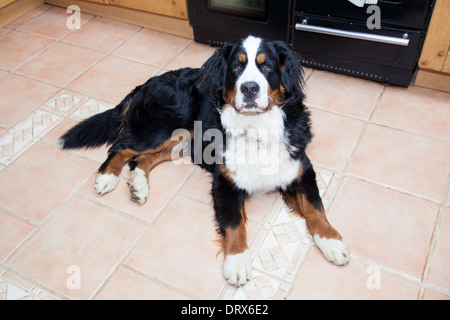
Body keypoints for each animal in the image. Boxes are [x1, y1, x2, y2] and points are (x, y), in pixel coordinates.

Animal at [59, 36, 350, 286]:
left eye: (266, 66)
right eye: (237, 67)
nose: (250, 88)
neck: (256, 129)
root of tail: (145, 84)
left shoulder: (301, 169)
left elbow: (315, 208)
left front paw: (331, 241)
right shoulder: (225, 183)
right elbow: (234, 223)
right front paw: (237, 262)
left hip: (184, 139)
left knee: (142, 159)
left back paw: (138, 185)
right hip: (162, 128)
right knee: (120, 148)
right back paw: (107, 177)